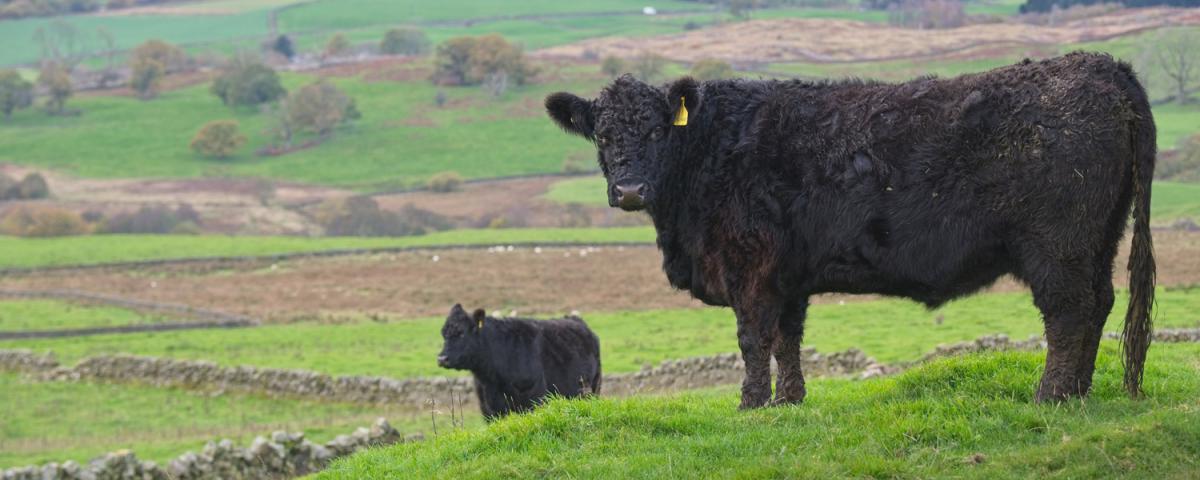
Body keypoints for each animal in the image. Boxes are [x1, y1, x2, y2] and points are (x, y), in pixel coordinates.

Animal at [436, 303, 600, 420]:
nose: (442, 358)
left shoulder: (535, 398)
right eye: (443, 334)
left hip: (593, 389)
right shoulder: (489, 408)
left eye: (462, 333)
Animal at [549, 54, 1156, 410]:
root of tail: (1098, 64)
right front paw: (790, 402)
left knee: (1069, 312)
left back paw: (1050, 396)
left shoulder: (749, 265)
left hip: (1057, 243)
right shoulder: (786, 273)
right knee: (1099, 302)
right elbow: (786, 338)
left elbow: (752, 337)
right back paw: (1079, 391)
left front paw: (750, 404)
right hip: (1099, 237)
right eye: (603, 136)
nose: (630, 190)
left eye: (656, 130)